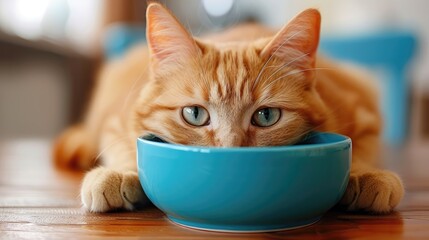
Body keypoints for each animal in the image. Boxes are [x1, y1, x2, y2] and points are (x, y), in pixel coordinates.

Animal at [52, 2, 402, 214]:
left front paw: (365, 175)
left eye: (265, 116)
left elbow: (361, 150)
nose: (231, 149)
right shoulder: (116, 120)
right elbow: (123, 147)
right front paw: (120, 174)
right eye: (195, 114)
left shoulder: (363, 110)